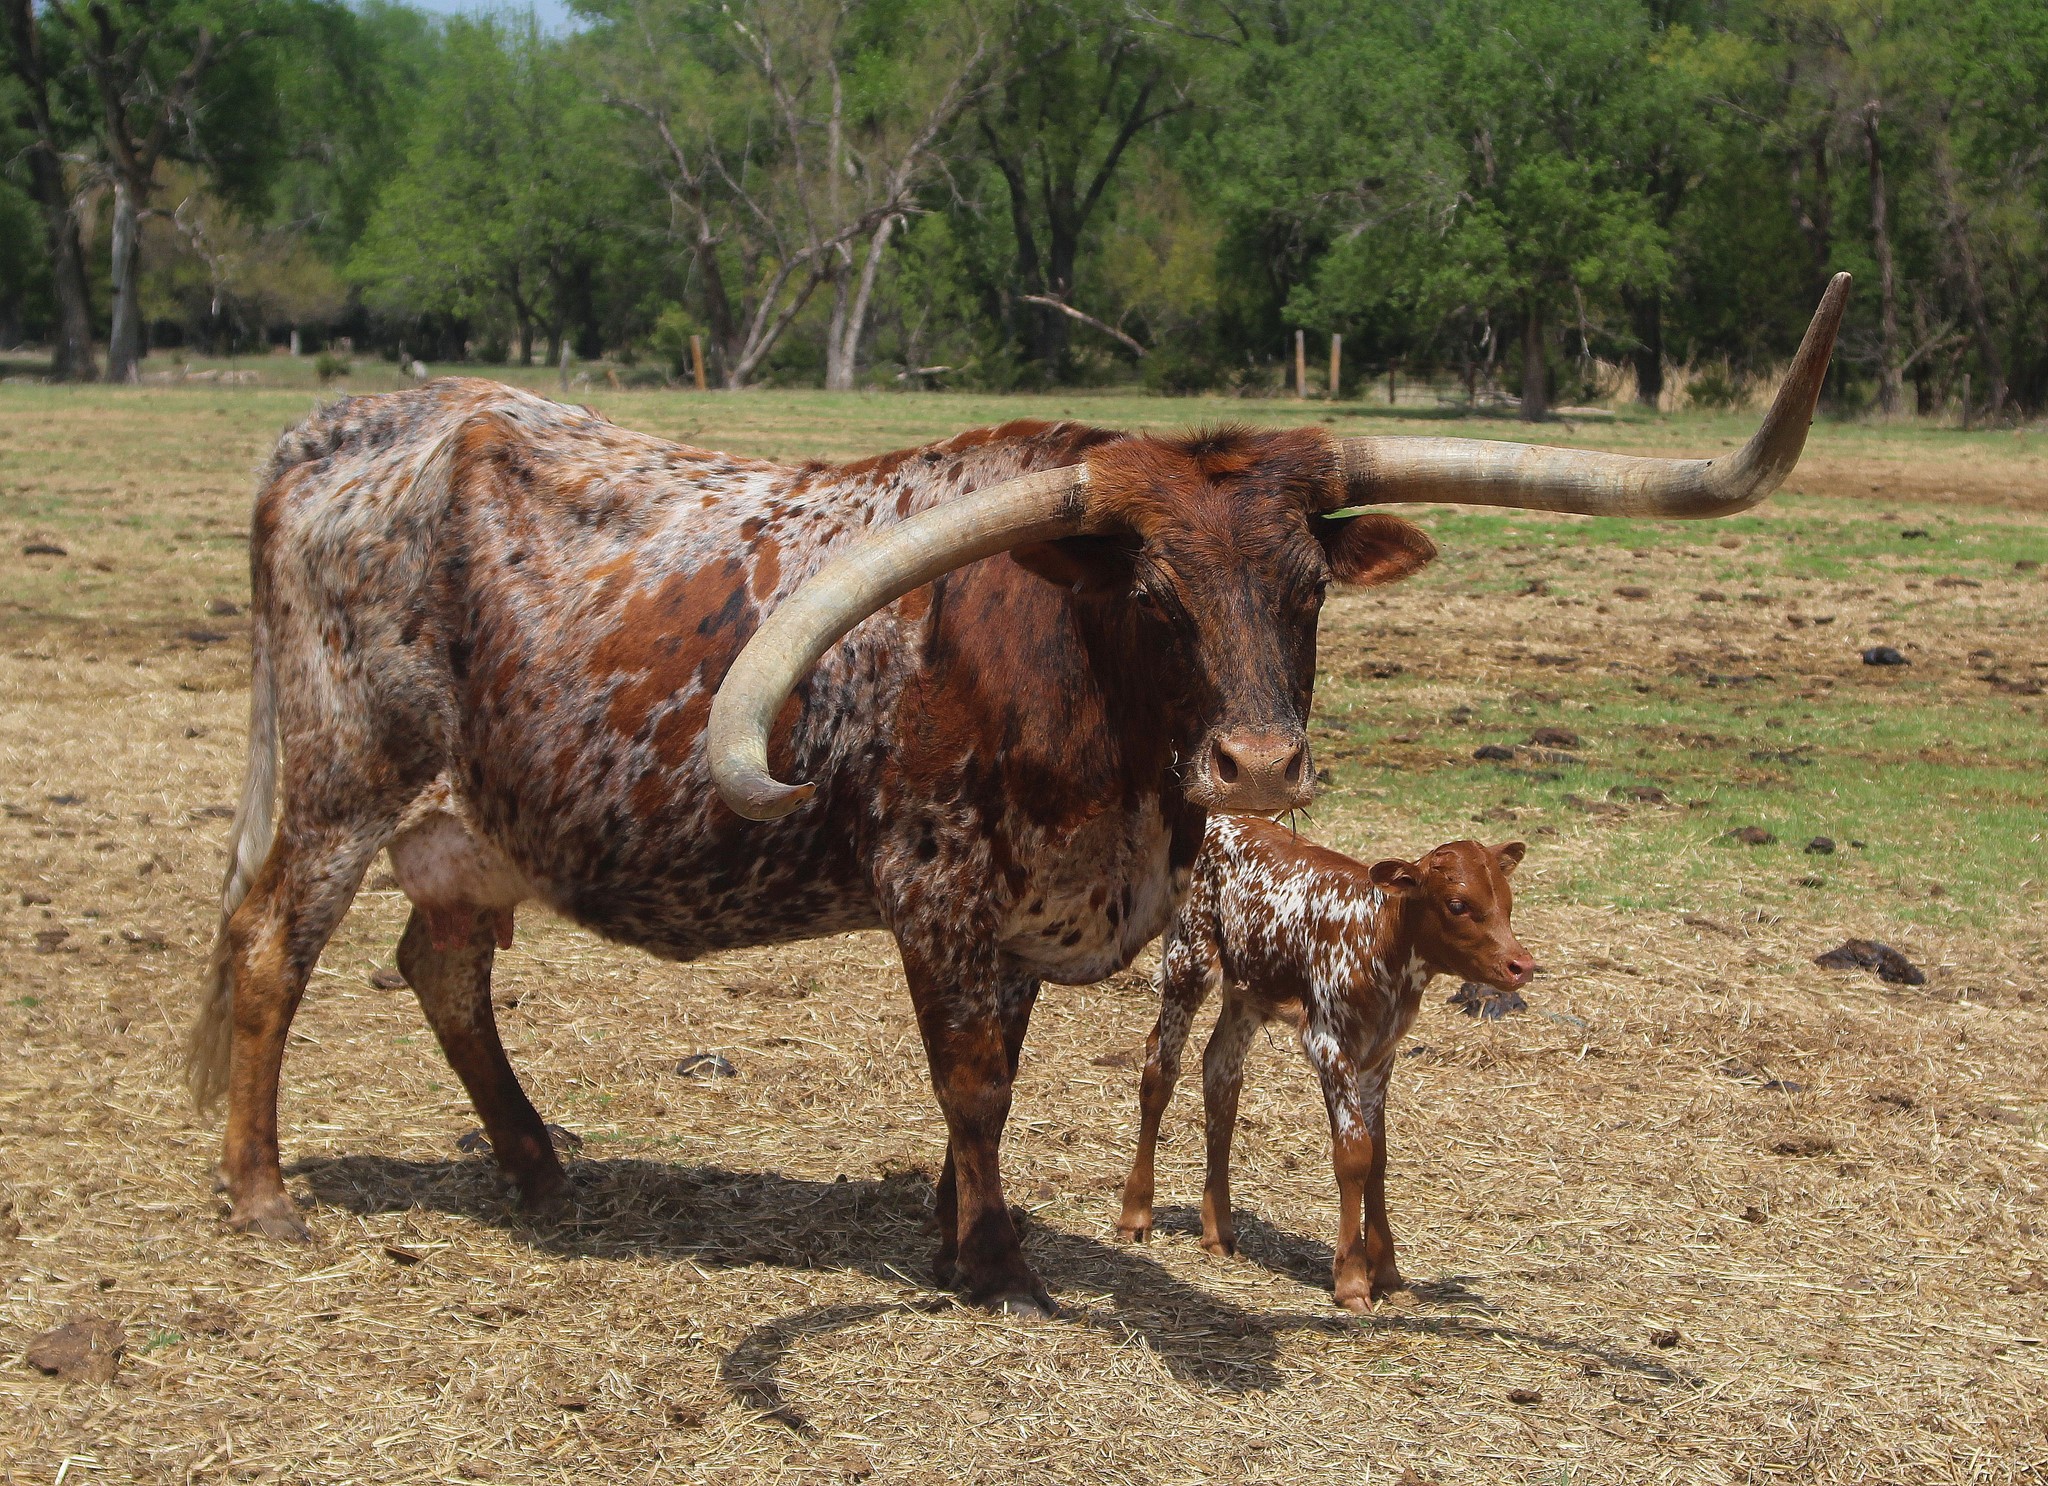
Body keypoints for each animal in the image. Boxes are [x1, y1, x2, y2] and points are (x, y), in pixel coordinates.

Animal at [1115, 817, 1531, 1310]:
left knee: (1220, 1075)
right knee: (1160, 1069)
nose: (1521, 965)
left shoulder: (1381, 1054)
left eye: (1506, 901)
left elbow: (1378, 1155)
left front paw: (1388, 1274)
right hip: (1188, 961)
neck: (1378, 939)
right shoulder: (1328, 1042)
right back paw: (1135, 1213)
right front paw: (1351, 1279)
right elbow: (1353, 1154)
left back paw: (1218, 1231)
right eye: (1458, 904)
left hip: (1248, 990)